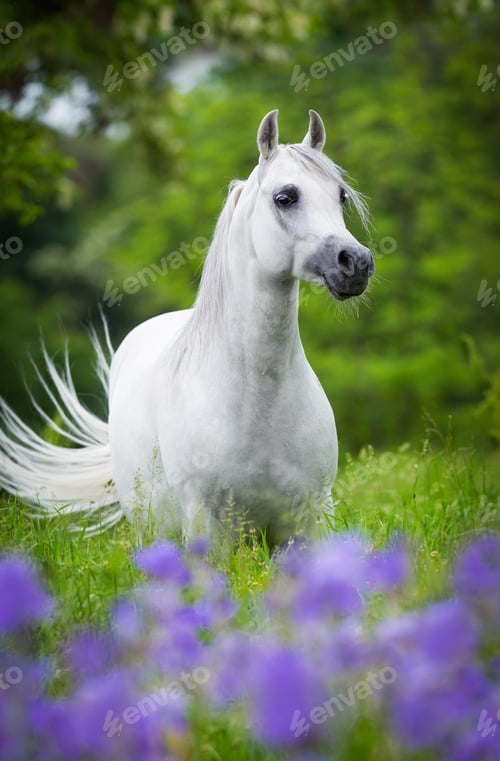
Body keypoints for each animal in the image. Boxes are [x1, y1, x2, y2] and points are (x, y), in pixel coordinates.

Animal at [0, 109, 374, 545]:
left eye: (341, 196)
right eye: (285, 197)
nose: (356, 263)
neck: (256, 400)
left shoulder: (310, 516)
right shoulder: (205, 521)